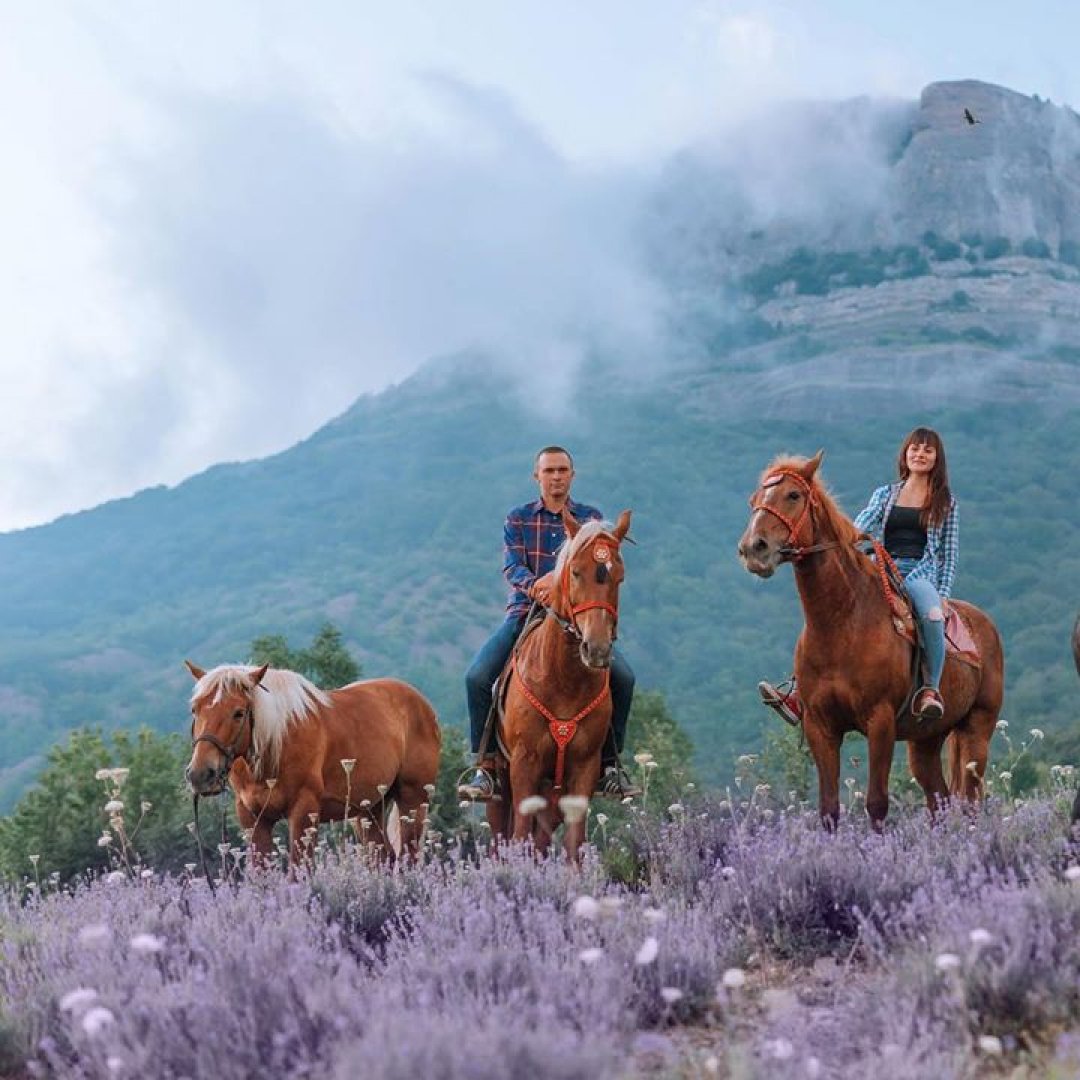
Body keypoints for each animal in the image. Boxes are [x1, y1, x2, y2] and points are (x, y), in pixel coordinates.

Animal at [184, 656, 438, 859]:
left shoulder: (303, 813)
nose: (200, 774)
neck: (275, 745)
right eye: (195, 709)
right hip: (366, 812)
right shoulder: (253, 819)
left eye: (238, 713)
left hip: (413, 802)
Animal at [490, 507, 630, 859]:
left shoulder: (584, 767)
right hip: (502, 783)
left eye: (619, 577)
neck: (563, 681)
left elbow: (574, 843)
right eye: (576, 572)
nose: (597, 649)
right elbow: (519, 837)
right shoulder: (524, 765)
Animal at [734, 453, 1002, 825]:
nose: (753, 548)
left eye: (793, 495)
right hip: (926, 740)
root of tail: (984, 624)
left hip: (978, 728)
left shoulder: (880, 722)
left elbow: (876, 803)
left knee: (971, 800)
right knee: (940, 801)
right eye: (754, 499)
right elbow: (829, 809)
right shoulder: (820, 727)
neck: (841, 624)